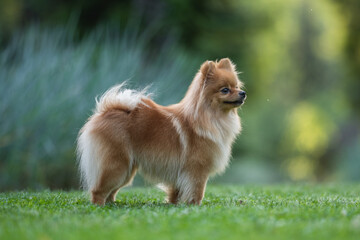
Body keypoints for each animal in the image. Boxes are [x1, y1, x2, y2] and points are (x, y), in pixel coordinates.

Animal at [77, 57, 246, 204]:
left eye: (237, 87)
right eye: (225, 90)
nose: (243, 93)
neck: (209, 117)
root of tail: (105, 111)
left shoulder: (181, 172)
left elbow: (176, 192)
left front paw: (174, 204)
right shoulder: (197, 170)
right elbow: (197, 191)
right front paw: (196, 206)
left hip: (127, 169)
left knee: (111, 192)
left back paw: (112, 204)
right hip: (116, 166)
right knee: (98, 191)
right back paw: (100, 206)